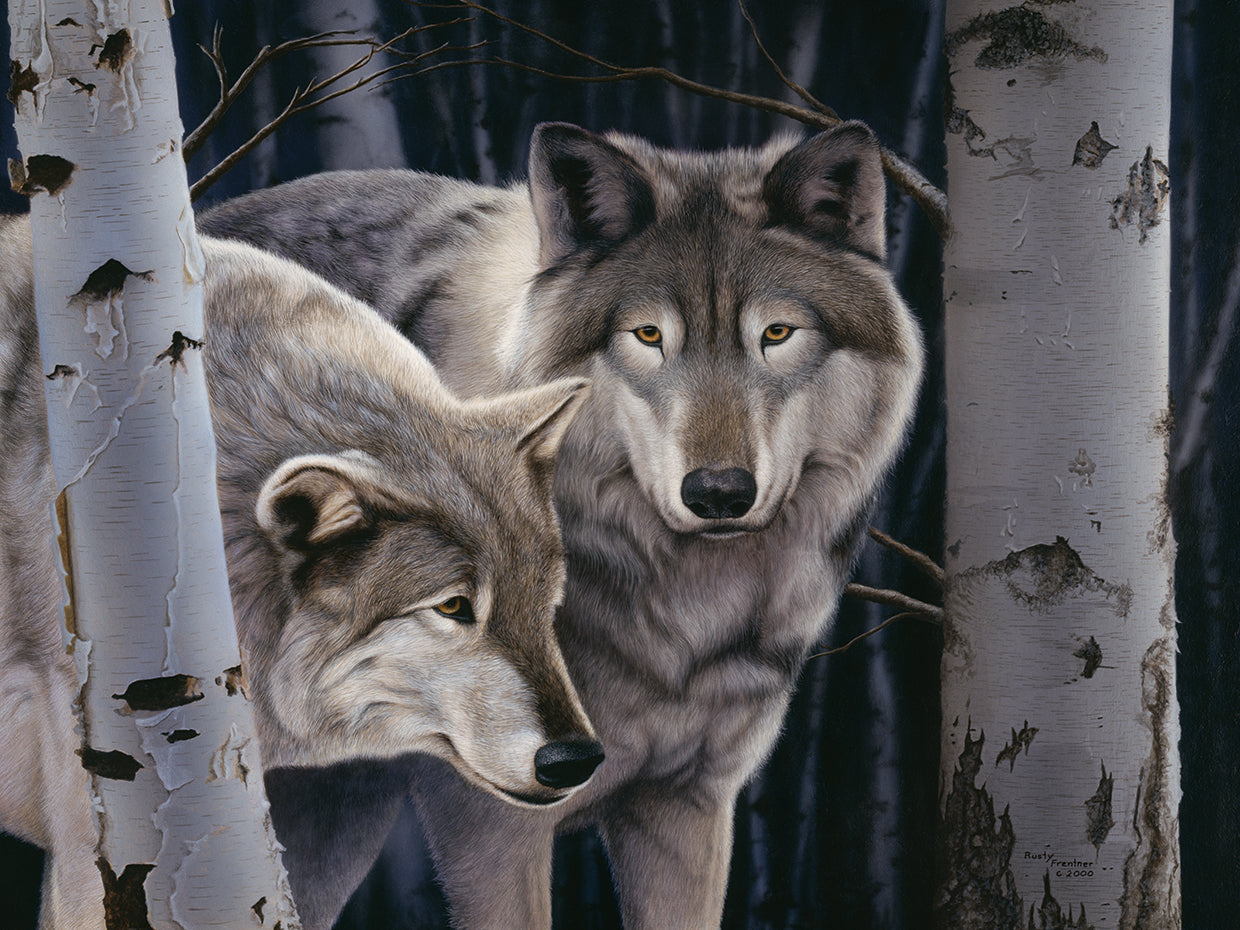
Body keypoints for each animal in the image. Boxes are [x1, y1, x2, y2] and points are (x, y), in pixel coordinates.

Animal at [200, 120, 925, 928]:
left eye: (776, 333)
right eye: (647, 336)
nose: (718, 493)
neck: (680, 621)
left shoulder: (689, 803)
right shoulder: (490, 825)